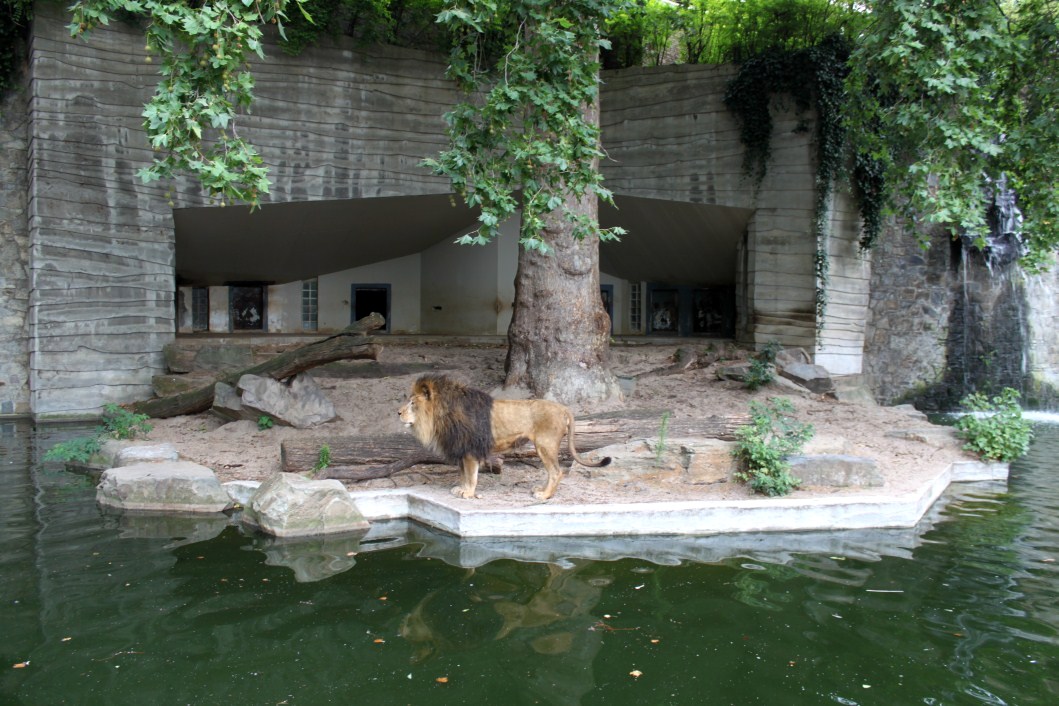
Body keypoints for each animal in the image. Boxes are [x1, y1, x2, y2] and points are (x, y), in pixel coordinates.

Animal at [398, 374, 611, 501]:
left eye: (412, 403)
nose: (398, 412)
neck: (440, 415)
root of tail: (563, 408)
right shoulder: (462, 450)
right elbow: (463, 474)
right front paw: (461, 489)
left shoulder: (470, 450)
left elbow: (471, 476)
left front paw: (468, 493)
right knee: (553, 472)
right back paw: (539, 490)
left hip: (545, 445)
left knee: (556, 472)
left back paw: (544, 495)